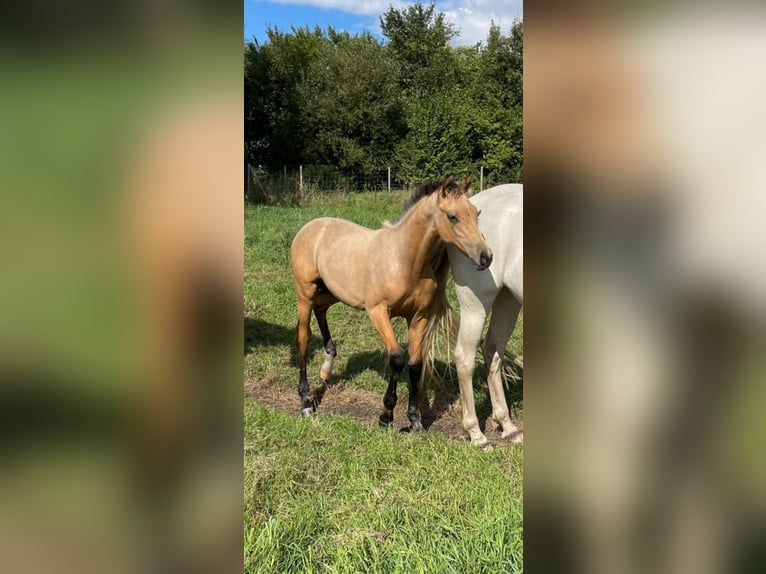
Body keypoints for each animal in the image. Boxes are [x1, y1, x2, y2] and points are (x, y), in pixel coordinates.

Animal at [290, 175, 492, 430]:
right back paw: (306, 402)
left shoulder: (419, 316)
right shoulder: (377, 311)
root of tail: (310, 227)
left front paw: (415, 420)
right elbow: (396, 358)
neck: (403, 260)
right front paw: (386, 415)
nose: (486, 257)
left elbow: (415, 363)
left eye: (476, 213)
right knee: (303, 339)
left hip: (332, 291)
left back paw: (326, 368)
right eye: (452, 217)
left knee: (321, 309)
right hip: (305, 293)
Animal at [446, 183, 523, 447]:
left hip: (508, 299)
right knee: (465, 357)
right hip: (475, 304)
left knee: (493, 350)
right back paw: (476, 434)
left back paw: (507, 426)